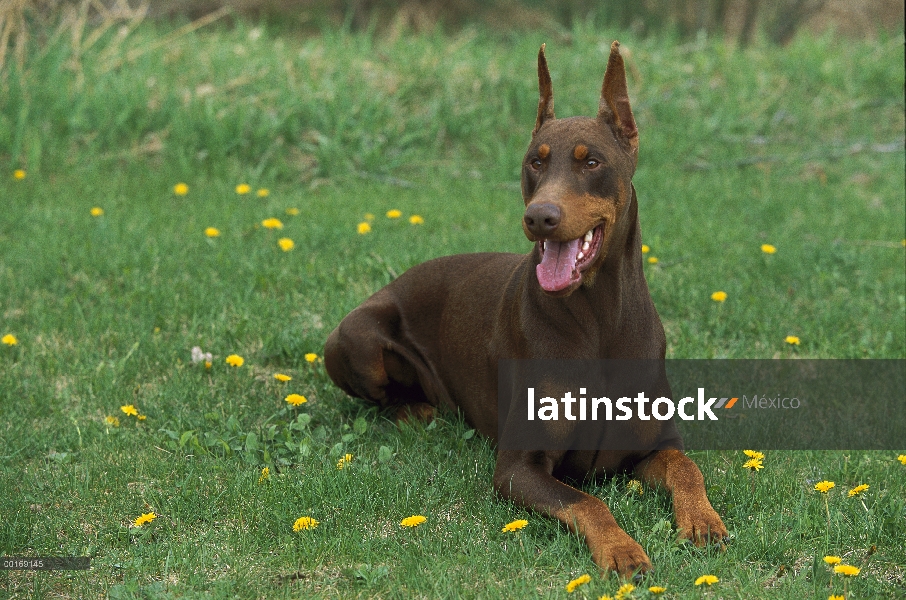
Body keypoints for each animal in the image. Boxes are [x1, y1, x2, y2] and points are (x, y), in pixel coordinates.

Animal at [324, 42, 728, 576]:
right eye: (534, 162)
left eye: (591, 161)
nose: (539, 217)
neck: (599, 318)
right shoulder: (519, 466)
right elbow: (587, 501)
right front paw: (621, 549)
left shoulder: (653, 442)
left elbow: (687, 467)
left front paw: (703, 521)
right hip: (357, 338)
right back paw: (419, 409)